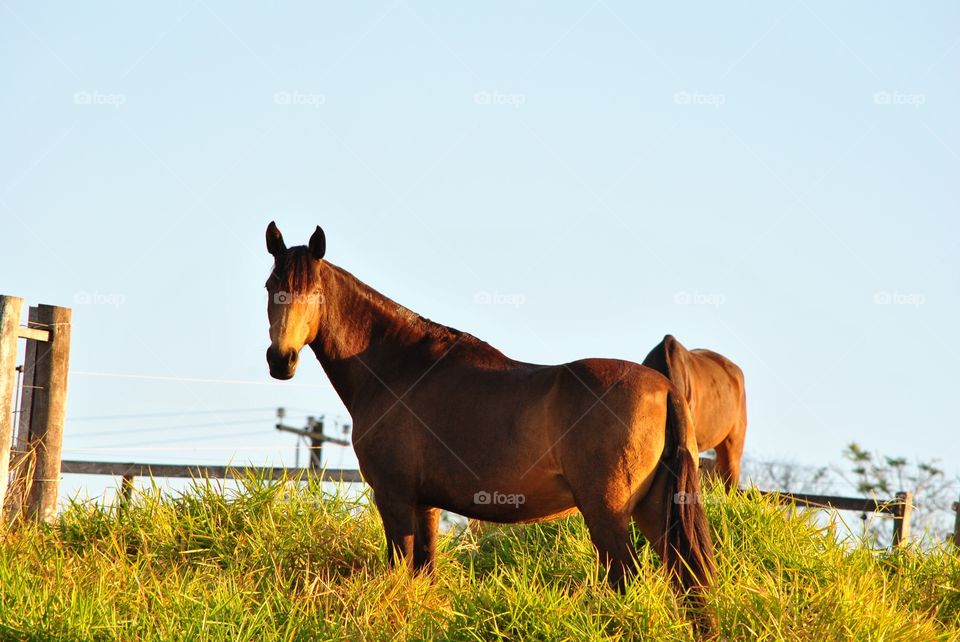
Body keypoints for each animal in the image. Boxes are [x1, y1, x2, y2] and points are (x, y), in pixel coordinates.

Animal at [263, 222, 716, 628]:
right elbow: (423, 575)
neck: (398, 367)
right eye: (271, 287)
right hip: (655, 512)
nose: (280, 360)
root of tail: (665, 388)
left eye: (314, 292)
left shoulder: (394, 498)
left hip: (608, 514)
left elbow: (401, 572)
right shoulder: (425, 504)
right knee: (689, 586)